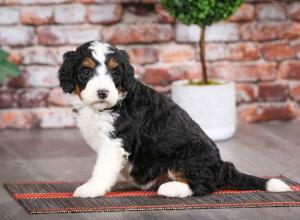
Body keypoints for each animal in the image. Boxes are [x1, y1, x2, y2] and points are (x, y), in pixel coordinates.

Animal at [57, 40, 292, 198]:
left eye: (115, 73)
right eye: (86, 71)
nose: (103, 92)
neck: (105, 107)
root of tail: (221, 166)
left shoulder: (115, 142)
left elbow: (102, 168)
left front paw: (91, 188)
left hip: (186, 155)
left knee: (204, 185)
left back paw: (172, 188)